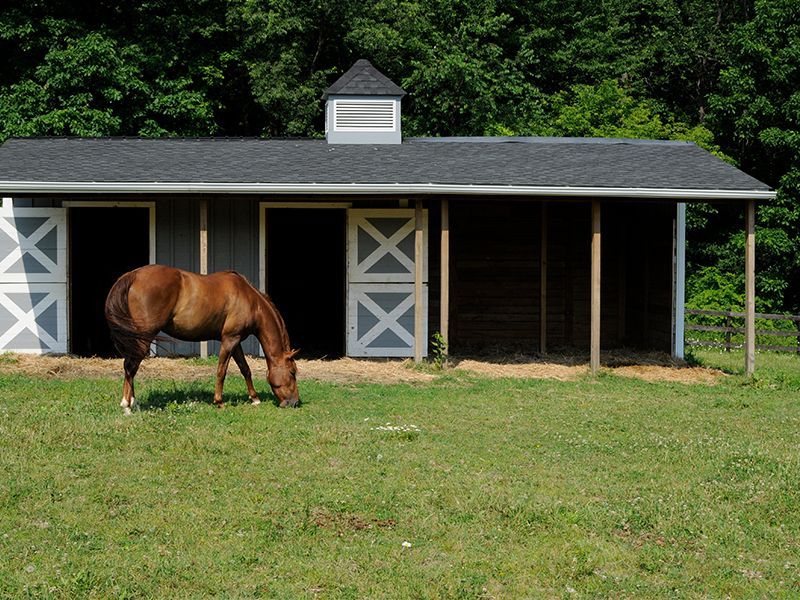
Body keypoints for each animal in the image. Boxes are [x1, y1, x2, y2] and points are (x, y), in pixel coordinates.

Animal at [104, 264, 299, 414]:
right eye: (292, 372)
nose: (295, 402)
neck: (250, 300)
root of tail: (133, 275)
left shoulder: (235, 342)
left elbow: (245, 369)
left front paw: (255, 399)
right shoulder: (229, 340)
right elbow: (221, 371)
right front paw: (219, 402)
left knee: (130, 366)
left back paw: (132, 403)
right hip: (144, 336)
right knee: (131, 366)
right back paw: (127, 406)